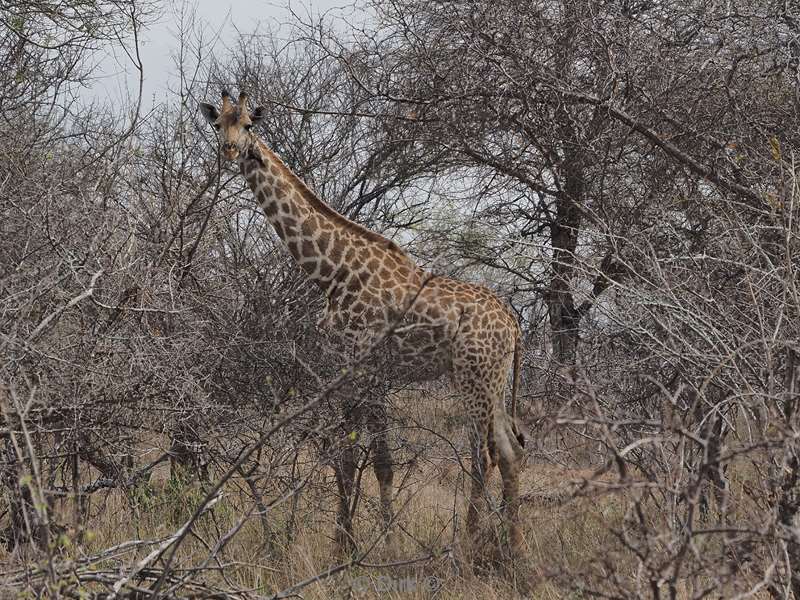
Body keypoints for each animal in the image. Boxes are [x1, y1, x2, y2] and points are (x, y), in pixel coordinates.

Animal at [198, 90, 528, 556]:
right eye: (217, 124)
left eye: (247, 125)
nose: (228, 151)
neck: (332, 272)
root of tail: (514, 324)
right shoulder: (347, 368)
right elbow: (348, 459)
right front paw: (346, 545)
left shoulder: (369, 369)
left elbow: (378, 462)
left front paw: (382, 547)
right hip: (494, 380)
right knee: (510, 452)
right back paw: (513, 548)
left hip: (473, 377)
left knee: (483, 456)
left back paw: (467, 546)